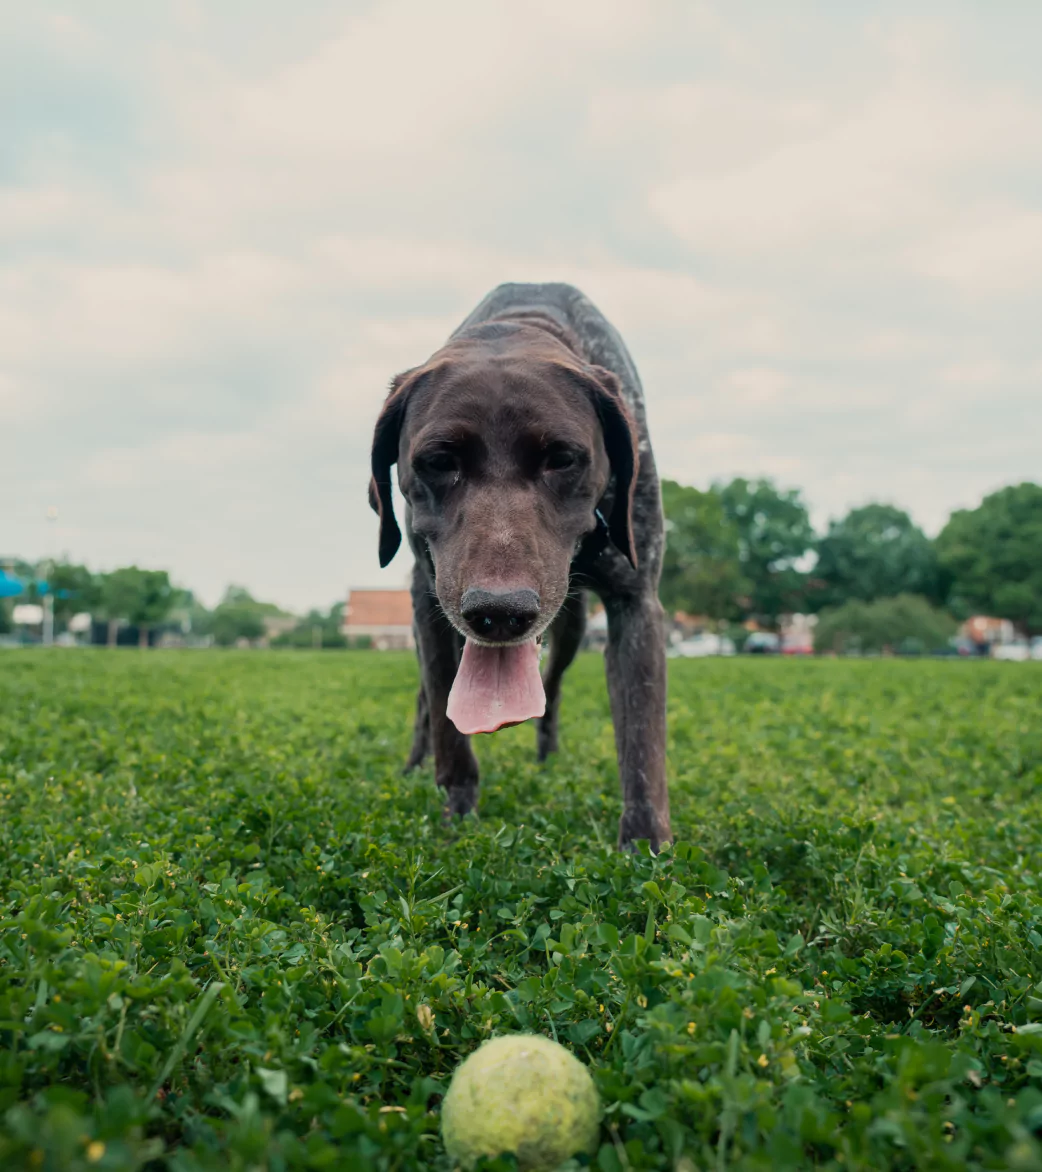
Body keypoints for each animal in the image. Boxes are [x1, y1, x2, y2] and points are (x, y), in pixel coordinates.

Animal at [370, 283, 670, 853]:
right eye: (438, 461)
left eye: (563, 458)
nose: (499, 611)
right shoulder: (428, 599)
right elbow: (447, 723)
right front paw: (456, 814)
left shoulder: (636, 604)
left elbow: (643, 744)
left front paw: (647, 848)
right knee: (427, 701)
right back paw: (414, 764)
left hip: (571, 627)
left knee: (551, 690)